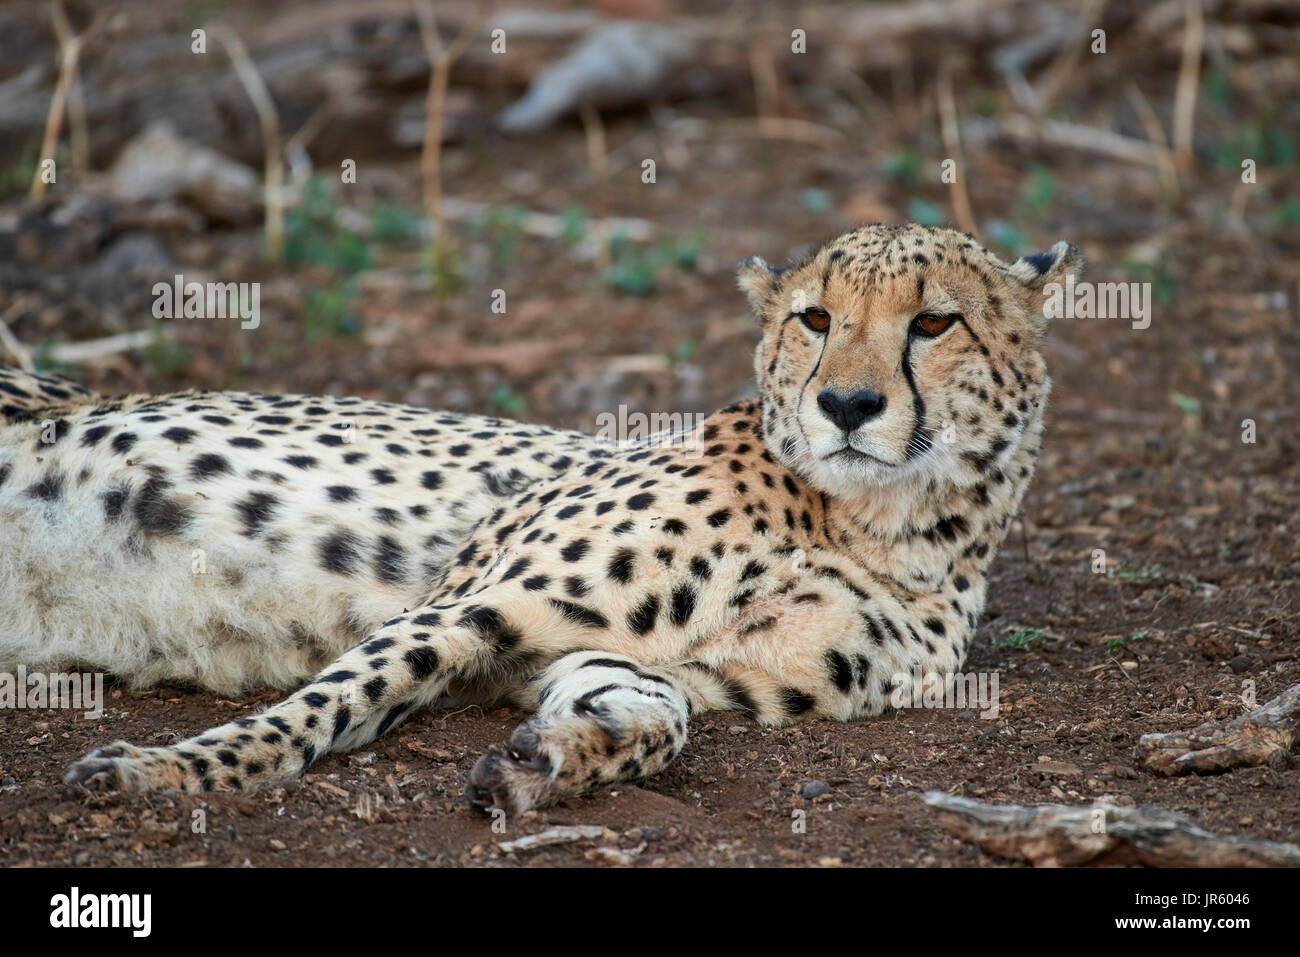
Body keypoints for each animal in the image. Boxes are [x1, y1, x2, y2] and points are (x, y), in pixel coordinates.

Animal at [0, 223, 1076, 816]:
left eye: (932, 322)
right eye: (814, 319)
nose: (847, 406)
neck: (877, 521)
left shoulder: (614, 653)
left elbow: (659, 711)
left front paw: (553, 762)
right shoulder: (463, 604)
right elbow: (317, 708)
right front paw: (171, 773)